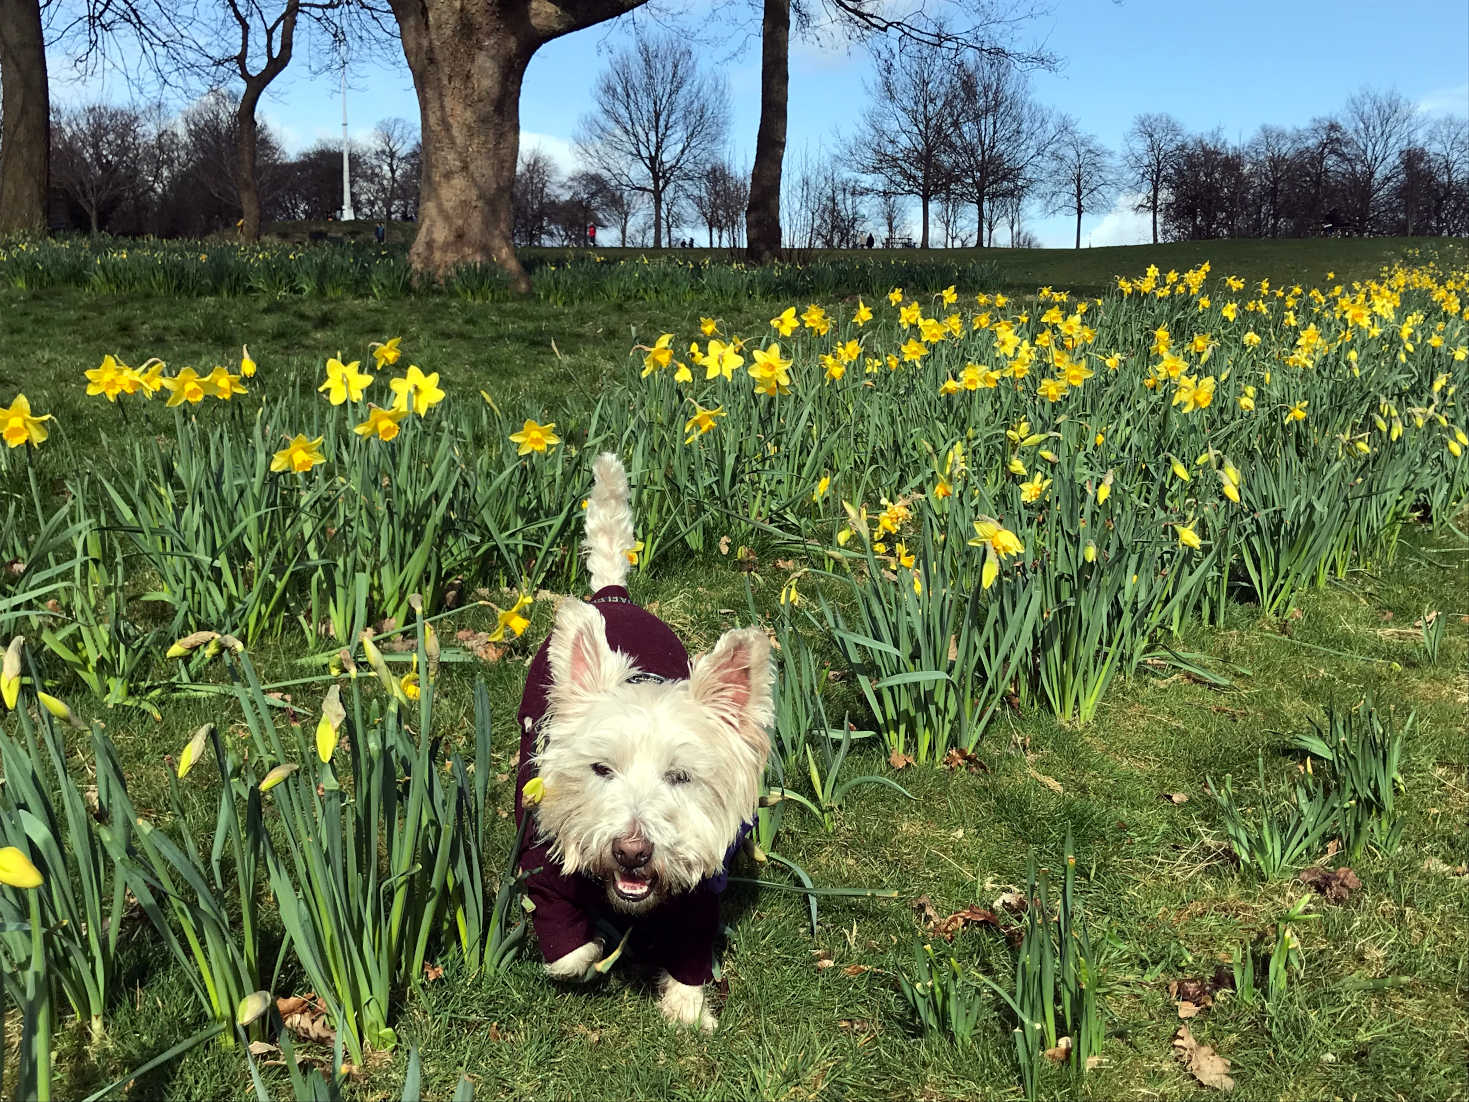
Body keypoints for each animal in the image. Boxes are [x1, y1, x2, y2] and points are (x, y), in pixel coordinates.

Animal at [514, 452, 775, 1034]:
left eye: (680, 777)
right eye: (600, 769)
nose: (631, 850)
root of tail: (614, 596)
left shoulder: (700, 896)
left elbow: (692, 957)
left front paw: (686, 1010)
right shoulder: (542, 866)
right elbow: (566, 951)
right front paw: (594, 950)